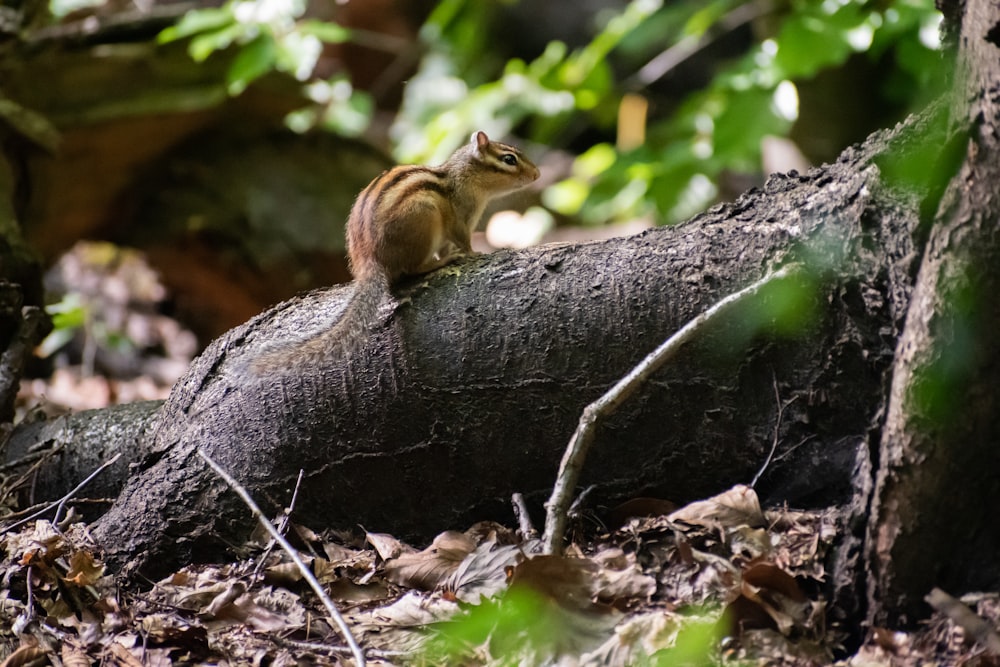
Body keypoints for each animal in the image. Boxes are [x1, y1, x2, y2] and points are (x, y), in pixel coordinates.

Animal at [245, 132, 540, 376]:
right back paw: (440, 263)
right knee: (409, 270)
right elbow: (462, 241)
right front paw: (473, 254)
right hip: (424, 215)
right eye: (509, 159)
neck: (463, 176)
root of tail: (368, 260)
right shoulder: (459, 219)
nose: (537, 174)